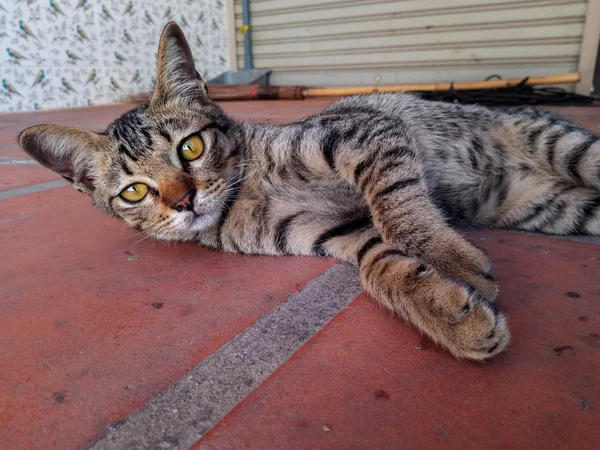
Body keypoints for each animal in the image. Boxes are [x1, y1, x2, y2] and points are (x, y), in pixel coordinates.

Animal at [18, 22, 600, 362]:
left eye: (190, 147)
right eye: (135, 192)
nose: (184, 201)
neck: (245, 194)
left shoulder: (363, 133)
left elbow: (399, 209)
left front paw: (452, 260)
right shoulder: (336, 232)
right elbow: (381, 265)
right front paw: (450, 314)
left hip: (565, 146)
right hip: (561, 209)